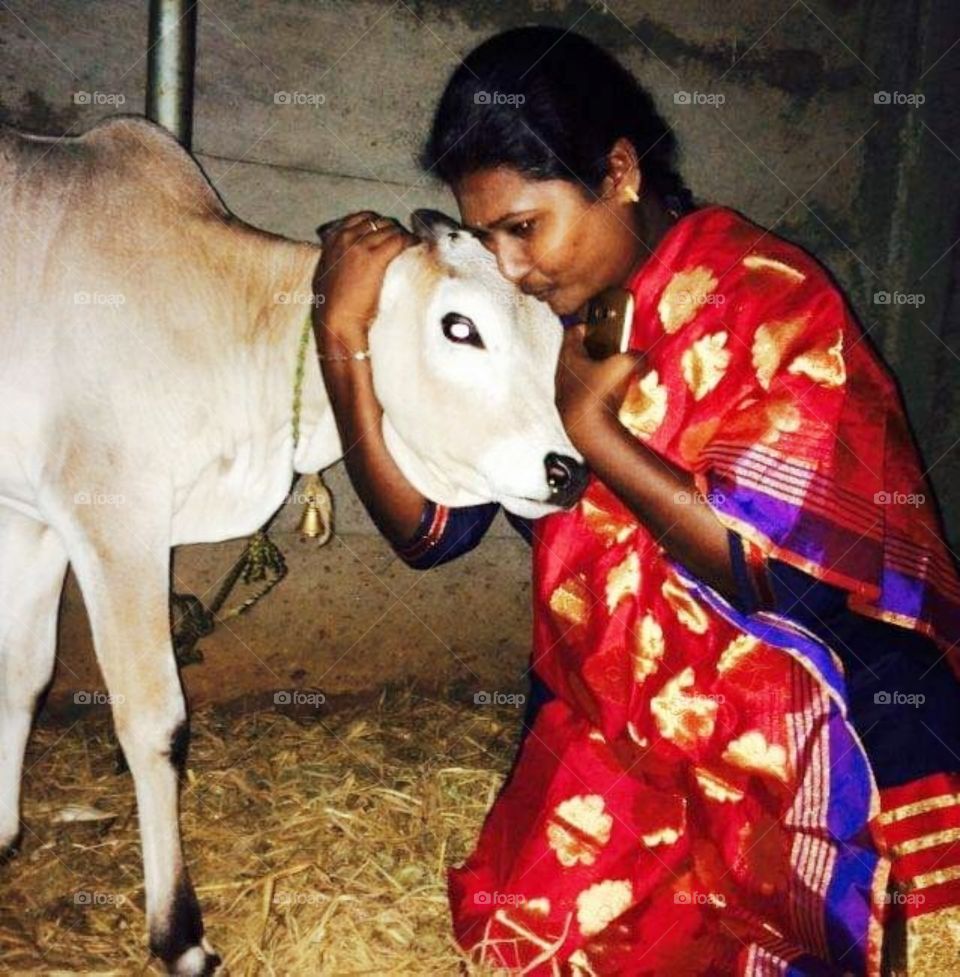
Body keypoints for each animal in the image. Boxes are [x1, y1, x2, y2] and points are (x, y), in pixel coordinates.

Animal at [0, 115, 586, 975]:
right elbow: (153, 719)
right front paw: (180, 934)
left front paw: (2, 832)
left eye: (555, 340)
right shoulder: (112, 516)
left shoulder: (33, 517)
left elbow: (23, 677)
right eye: (459, 326)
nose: (565, 470)